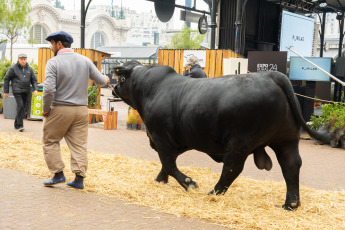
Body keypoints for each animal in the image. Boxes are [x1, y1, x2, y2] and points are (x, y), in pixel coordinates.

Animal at [113, 60, 336, 209]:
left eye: (121, 78)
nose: (113, 88)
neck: (148, 89)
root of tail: (270, 75)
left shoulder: (161, 137)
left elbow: (168, 162)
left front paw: (189, 183)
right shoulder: (178, 140)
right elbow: (167, 163)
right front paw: (160, 180)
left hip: (239, 142)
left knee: (232, 168)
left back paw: (213, 192)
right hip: (286, 140)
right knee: (290, 165)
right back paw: (291, 204)